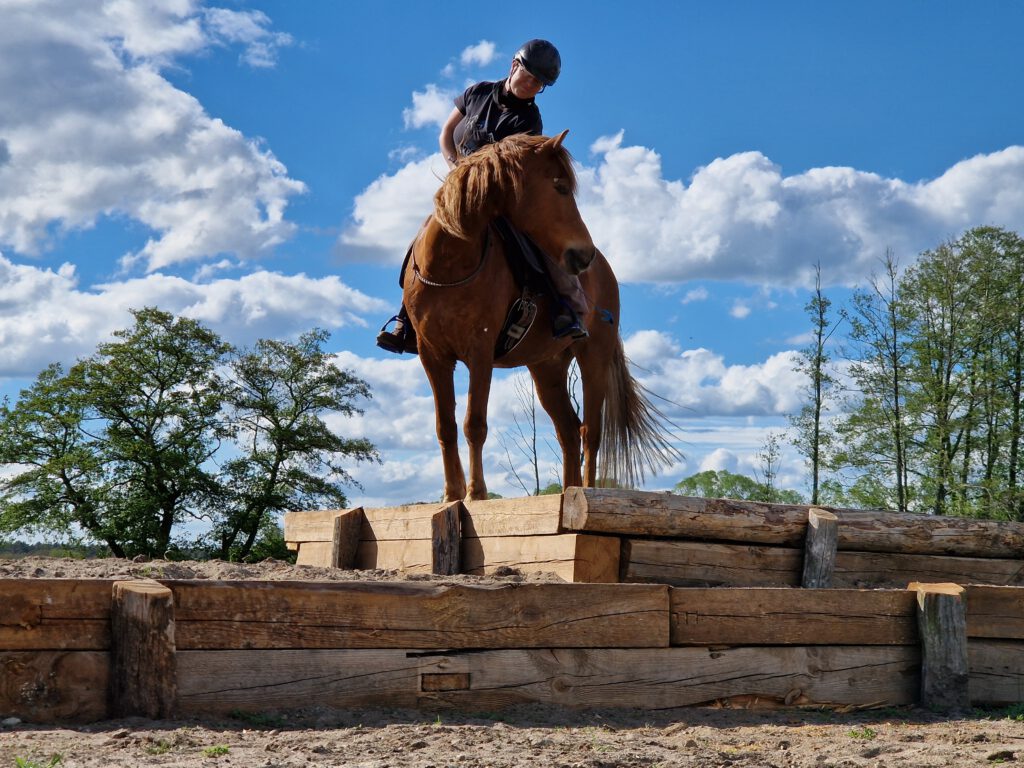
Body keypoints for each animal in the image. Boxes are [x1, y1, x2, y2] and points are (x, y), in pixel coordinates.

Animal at [401, 131, 679, 505]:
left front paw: (476, 494)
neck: (450, 265)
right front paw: (451, 495)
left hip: (594, 358)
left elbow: (475, 422)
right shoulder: (432, 355)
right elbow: (445, 426)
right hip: (547, 367)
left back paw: (587, 491)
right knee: (568, 431)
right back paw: (569, 490)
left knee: (590, 431)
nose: (584, 254)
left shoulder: (480, 350)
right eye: (560, 187)